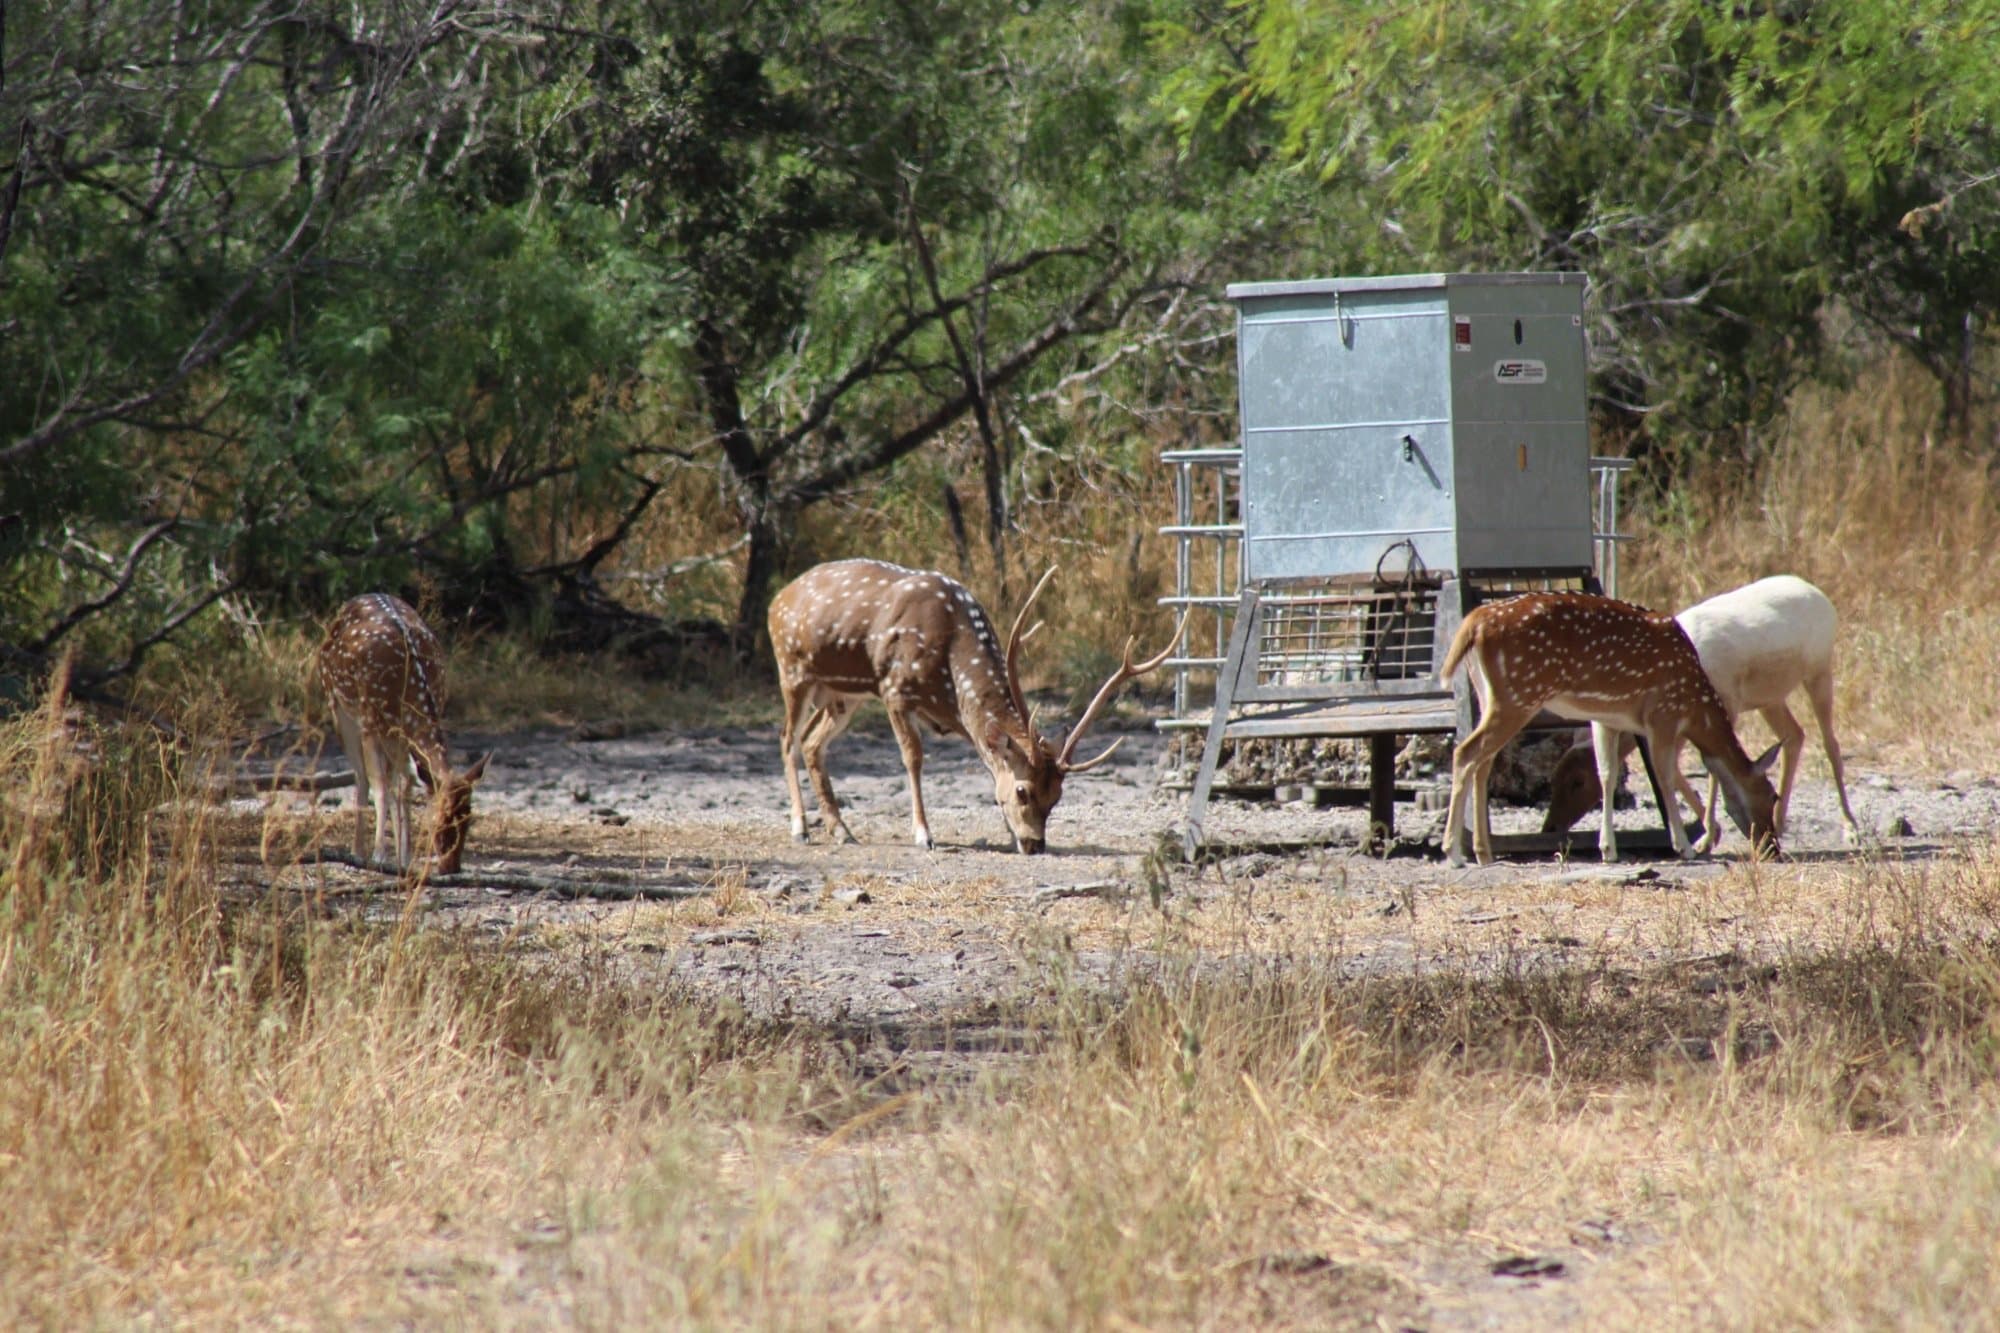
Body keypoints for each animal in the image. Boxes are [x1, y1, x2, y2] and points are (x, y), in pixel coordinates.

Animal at [318, 594, 490, 874]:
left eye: (468, 818)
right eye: (437, 820)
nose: (451, 867)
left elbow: (404, 788)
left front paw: (404, 857)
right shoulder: (369, 722)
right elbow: (380, 786)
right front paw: (379, 855)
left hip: (391, 735)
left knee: (397, 781)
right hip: (337, 705)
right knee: (361, 776)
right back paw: (358, 852)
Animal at [768, 559, 1182, 854]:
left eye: (1058, 796)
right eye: (1023, 791)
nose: (1035, 845)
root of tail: (777, 600)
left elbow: (989, 763)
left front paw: (1007, 833)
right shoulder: (894, 689)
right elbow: (913, 758)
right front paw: (924, 834)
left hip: (842, 695)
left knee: (812, 742)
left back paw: (841, 830)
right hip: (793, 670)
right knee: (787, 737)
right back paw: (800, 828)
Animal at [1439, 592, 1780, 867]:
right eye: (1771, 796)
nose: (1773, 848)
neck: (1696, 705)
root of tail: (1473, 622)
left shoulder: (1608, 719)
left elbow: (1607, 773)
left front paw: (1608, 849)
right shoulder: (1664, 714)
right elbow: (1665, 776)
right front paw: (1685, 847)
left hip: (1488, 696)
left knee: (1482, 762)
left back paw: (1483, 853)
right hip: (1518, 695)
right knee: (1465, 753)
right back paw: (1453, 853)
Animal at [1541, 576, 1860, 850]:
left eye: (1578, 781)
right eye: (1553, 777)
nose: (1550, 827)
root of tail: (1819, 594)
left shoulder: (1725, 703)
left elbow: (1707, 768)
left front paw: (1705, 838)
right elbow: (1676, 768)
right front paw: (1709, 833)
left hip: (1819, 669)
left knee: (1830, 743)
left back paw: (1851, 829)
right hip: (1769, 697)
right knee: (1794, 735)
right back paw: (1781, 824)